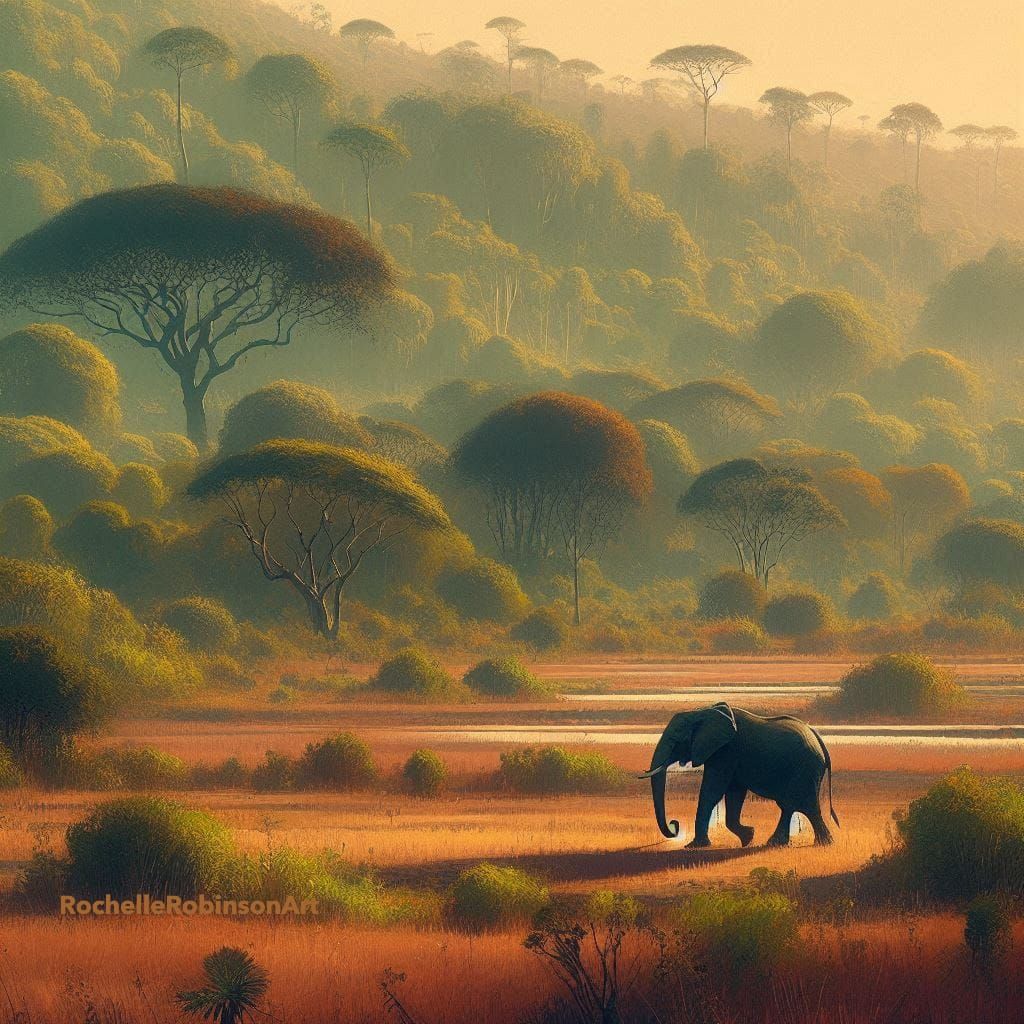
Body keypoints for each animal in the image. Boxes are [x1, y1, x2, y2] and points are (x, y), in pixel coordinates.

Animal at [639, 703, 839, 848]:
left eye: (675, 740)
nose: (675, 825)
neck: (702, 712)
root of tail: (819, 738)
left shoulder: (726, 751)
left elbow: (712, 791)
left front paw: (694, 846)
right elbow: (734, 793)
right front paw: (748, 838)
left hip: (805, 768)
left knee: (802, 804)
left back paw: (817, 844)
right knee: (791, 805)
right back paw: (785, 844)